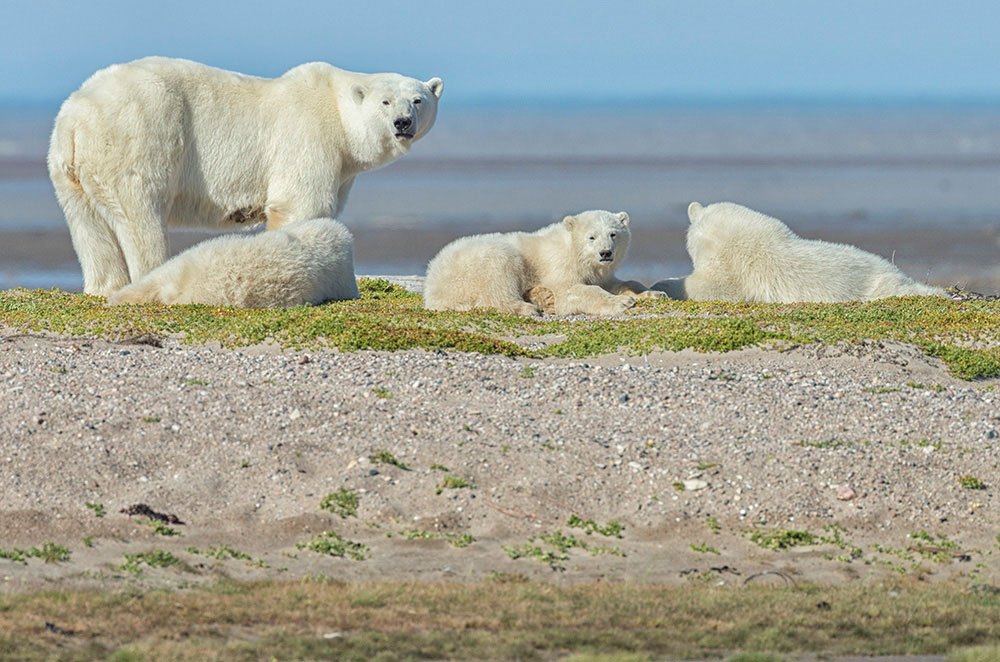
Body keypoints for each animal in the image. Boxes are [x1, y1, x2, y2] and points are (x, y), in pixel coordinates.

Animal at [48, 57, 444, 296]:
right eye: (385, 102)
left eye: (418, 100)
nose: (403, 123)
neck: (337, 112)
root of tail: (75, 116)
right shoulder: (307, 136)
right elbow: (301, 205)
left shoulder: (342, 166)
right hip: (139, 132)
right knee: (141, 213)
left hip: (69, 168)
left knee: (88, 225)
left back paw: (104, 287)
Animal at [422, 211, 664, 318]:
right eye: (592, 237)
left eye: (613, 234)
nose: (605, 253)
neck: (572, 249)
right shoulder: (559, 265)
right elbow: (572, 291)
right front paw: (622, 302)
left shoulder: (599, 272)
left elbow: (618, 282)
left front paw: (653, 293)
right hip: (482, 261)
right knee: (498, 281)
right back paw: (529, 307)